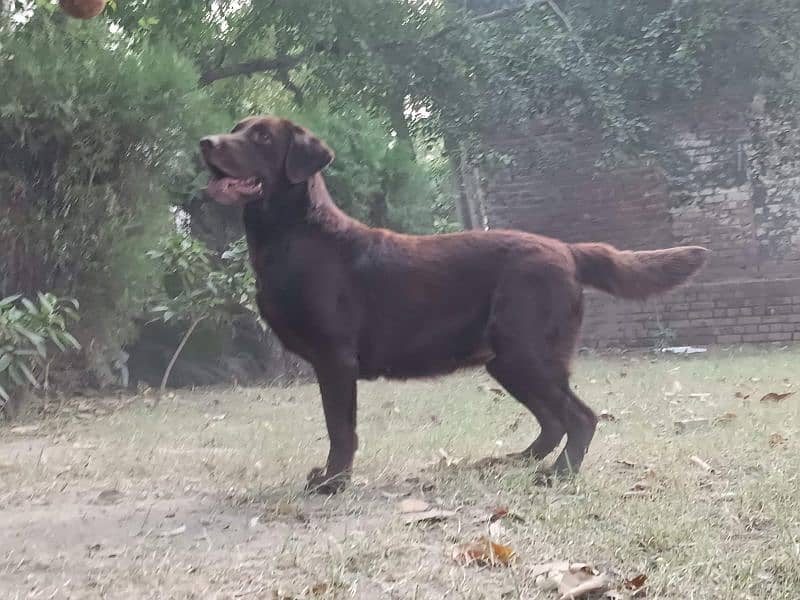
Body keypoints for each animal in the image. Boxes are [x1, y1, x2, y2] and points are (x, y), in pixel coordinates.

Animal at [200, 116, 708, 492]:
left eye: (262, 137)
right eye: (236, 127)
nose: (205, 142)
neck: (295, 236)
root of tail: (567, 249)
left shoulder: (335, 359)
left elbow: (340, 430)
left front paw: (332, 483)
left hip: (525, 353)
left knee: (580, 417)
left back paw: (557, 476)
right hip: (507, 360)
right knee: (553, 420)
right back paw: (516, 460)